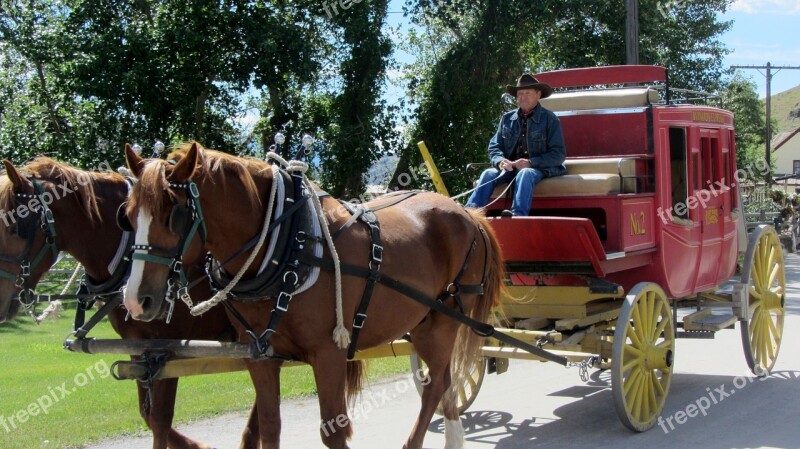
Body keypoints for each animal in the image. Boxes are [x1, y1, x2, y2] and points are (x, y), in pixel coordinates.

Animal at [0, 158, 258, 448]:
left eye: (15, 228)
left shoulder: (165, 350)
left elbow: (160, 418)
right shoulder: (138, 349)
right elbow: (148, 415)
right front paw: (195, 445)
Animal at [122, 143, 504, 448]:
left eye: (175, 215)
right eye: (127, 216)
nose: (136, 300)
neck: (287, 246)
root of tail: (467, 213)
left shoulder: (329, 354)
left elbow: (333, 431)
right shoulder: (259, 356)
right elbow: (270, 427)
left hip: (443, 320)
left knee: (436, 383)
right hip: (423, 323)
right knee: (446, 381)